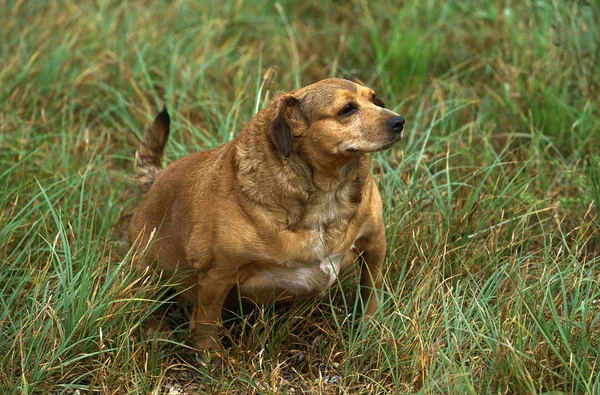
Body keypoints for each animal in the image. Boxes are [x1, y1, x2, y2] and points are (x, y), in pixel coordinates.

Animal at [129, 77, 406, 350]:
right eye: (347, 109)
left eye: (374, 99)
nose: (399, 121)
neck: (328, 194)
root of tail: (154, 182)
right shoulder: (217, 274)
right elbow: (207, 323)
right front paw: (210, 357)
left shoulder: (375, 245)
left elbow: (371, 292)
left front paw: (370, 331)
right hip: (147, 271)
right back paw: (156, 332)